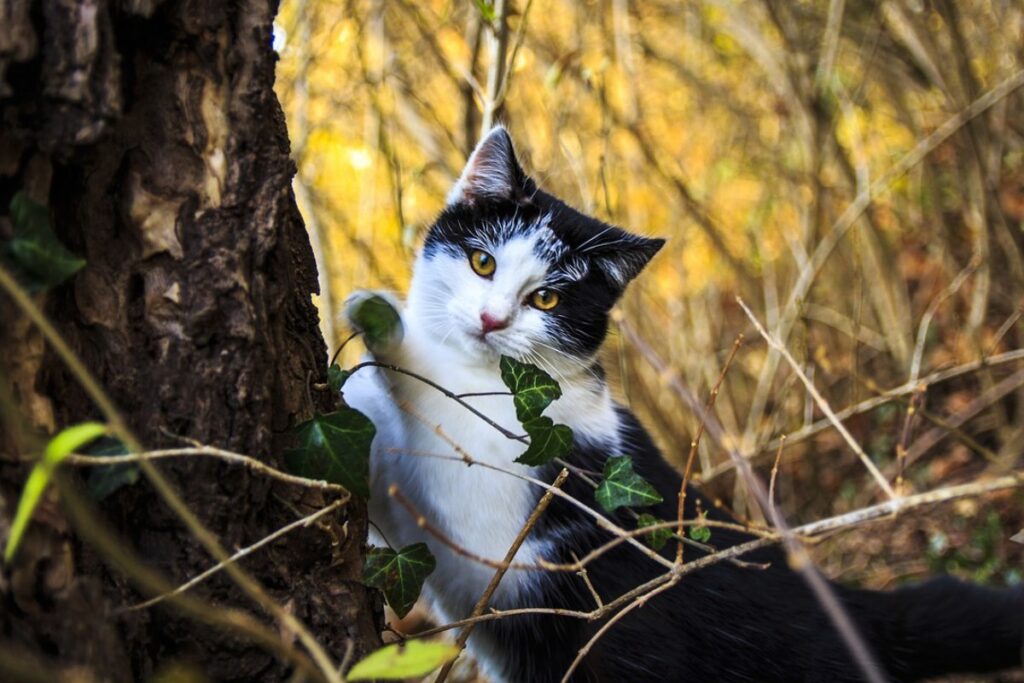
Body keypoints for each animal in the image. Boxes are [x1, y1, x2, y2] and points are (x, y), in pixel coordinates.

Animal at [344, 127, 1024, 683]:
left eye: (546, 301)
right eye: (481, 261)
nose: (491, 320)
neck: (491, 375)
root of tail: (850, 608)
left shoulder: (502, 489)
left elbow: (428, 393)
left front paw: (374, 319)